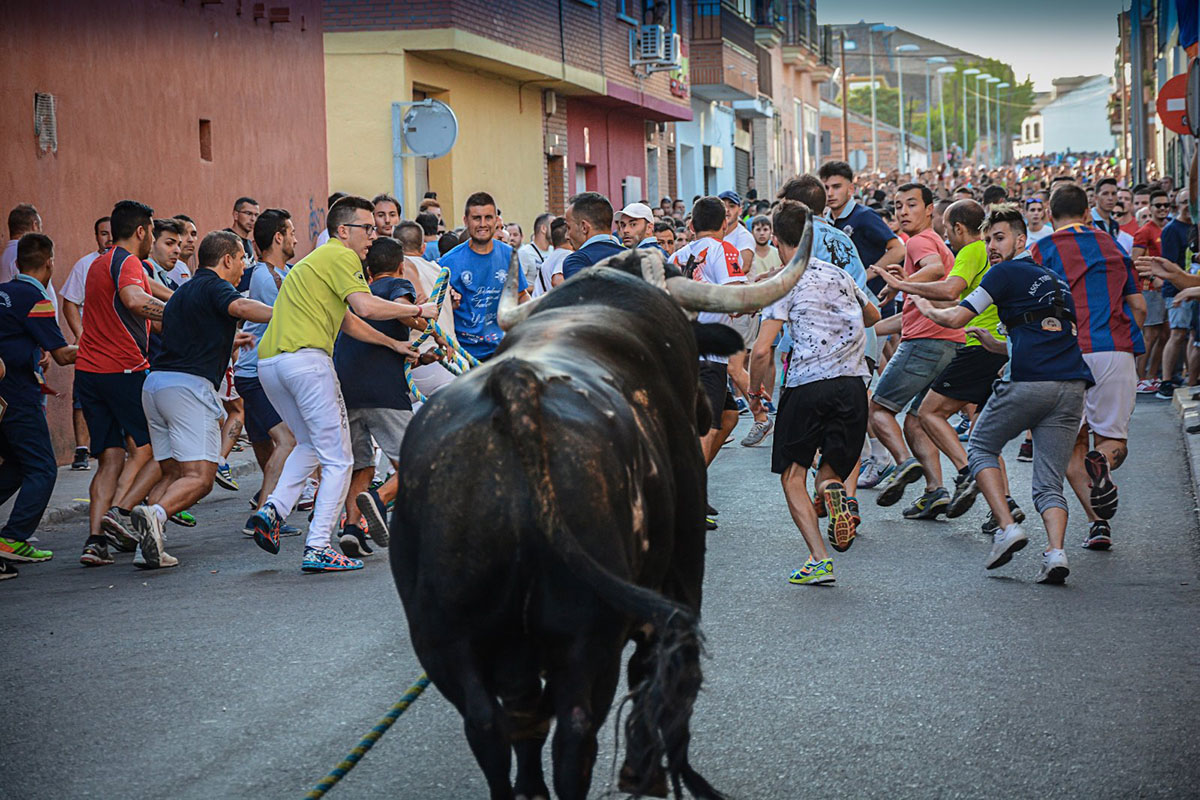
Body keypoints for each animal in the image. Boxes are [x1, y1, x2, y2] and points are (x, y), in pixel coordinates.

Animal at [388, 241, 811, 796]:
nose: (707, 408)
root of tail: (515, 389)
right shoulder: (678, 580)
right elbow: (651, 674)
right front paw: (642, 771)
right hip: (588, 635)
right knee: (576, 732)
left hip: (446, 637)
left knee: (492, 725)